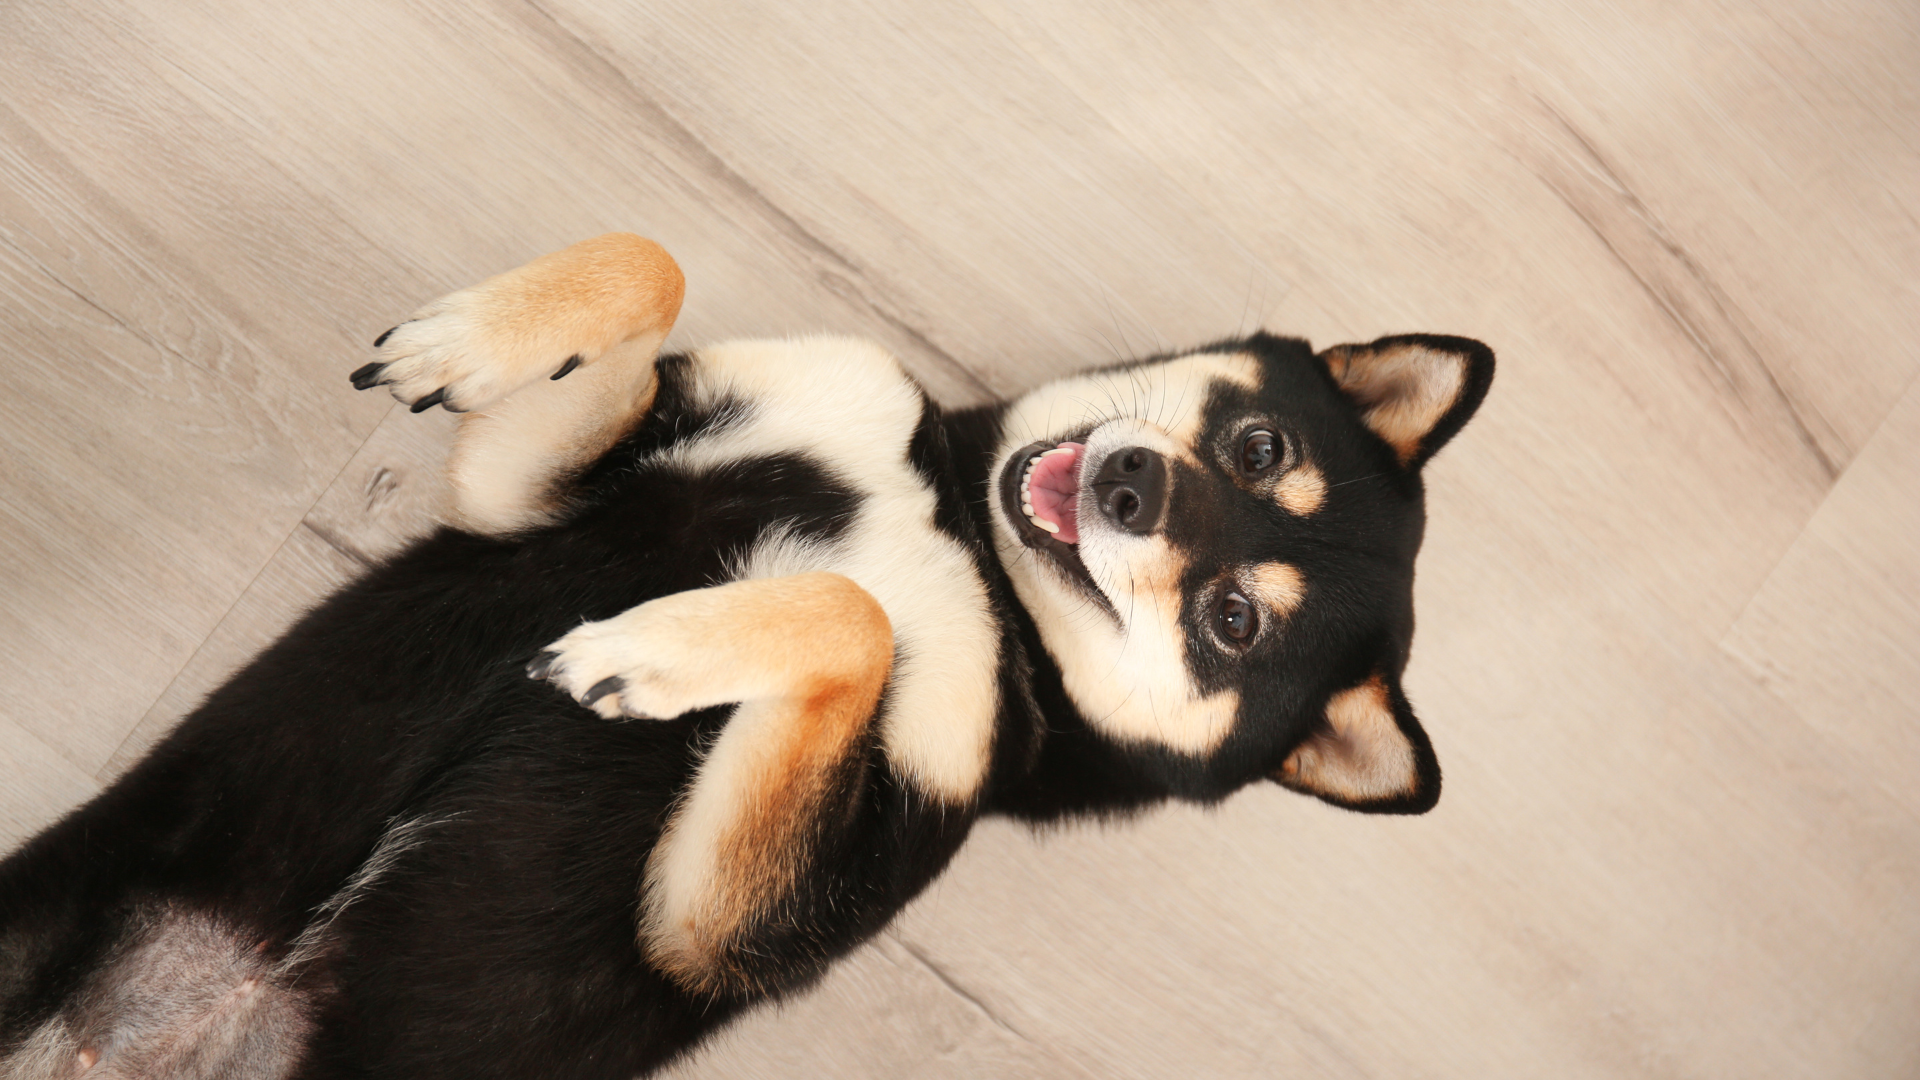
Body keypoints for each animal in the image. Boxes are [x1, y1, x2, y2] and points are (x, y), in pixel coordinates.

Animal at [0, 231, 1489, 1068]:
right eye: (1260, 445)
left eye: (1235, 622)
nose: (1134, 487)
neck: (955, 526)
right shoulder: (539, 498)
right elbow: (652, 258)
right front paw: (472, 337)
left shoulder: (718, 919)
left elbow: (853, 613)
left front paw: (656, 654)